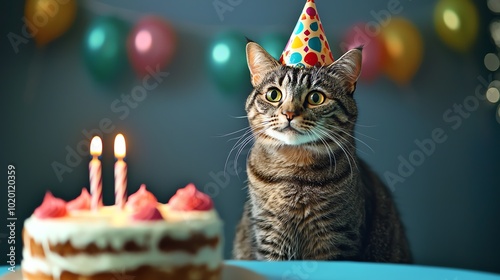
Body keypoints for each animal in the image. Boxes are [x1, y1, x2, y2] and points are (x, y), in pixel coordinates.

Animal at [232, 42, 412, 262]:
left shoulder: (335, 238)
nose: (289, 113)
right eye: (273, 95)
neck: (294, 171)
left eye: (316, 98)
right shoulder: (270, 234)